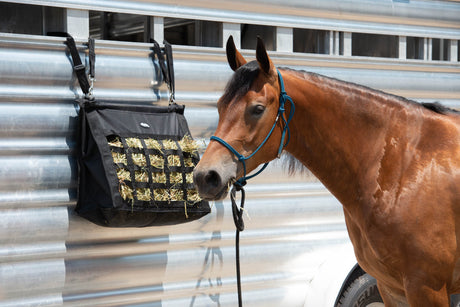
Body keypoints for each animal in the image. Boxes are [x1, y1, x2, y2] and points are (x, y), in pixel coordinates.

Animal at [193, 36, 460, 307]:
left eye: (257, 109)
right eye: (220, 106)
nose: (205, 176)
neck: (403, 166)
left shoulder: (426, 288)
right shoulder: (391, 288)